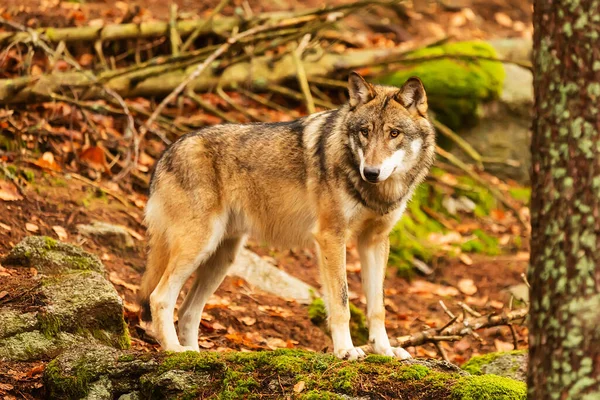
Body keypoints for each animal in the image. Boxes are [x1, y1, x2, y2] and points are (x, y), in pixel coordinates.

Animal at [138, 72, 434, 360]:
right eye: (365, 132)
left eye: (394, 133)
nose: (370, 172)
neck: (376, 192)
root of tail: (166, 152)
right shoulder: (330, 236)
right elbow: (341, 302)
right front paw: (346, 350)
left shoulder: (374, 241)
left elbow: (378, 307)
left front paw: (385, 351)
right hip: (200, 246)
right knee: (159, 297)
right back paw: (174, 350)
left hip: (222, 258)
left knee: (188, 311)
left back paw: (195, 355)